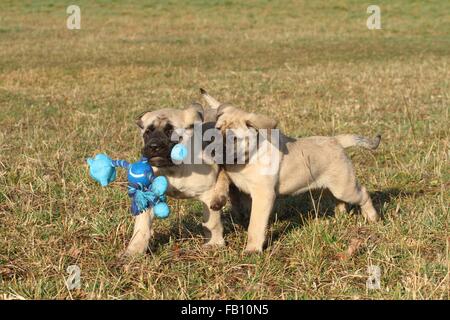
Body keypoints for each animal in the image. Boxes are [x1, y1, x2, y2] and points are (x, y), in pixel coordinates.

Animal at [203, 92, 380, 252]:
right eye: (216, 130)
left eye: (233, 138)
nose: (213, 150)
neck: (245, 159)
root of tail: (336, 140)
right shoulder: (230, 174)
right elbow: (222, 180)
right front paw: (217, 200)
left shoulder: (263, 195)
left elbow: (255, 224)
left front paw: (252, 249)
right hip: (331, 187)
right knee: (339, 201)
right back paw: (339, 217)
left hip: (344, 187)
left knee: (363, 194)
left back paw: (372, 217)